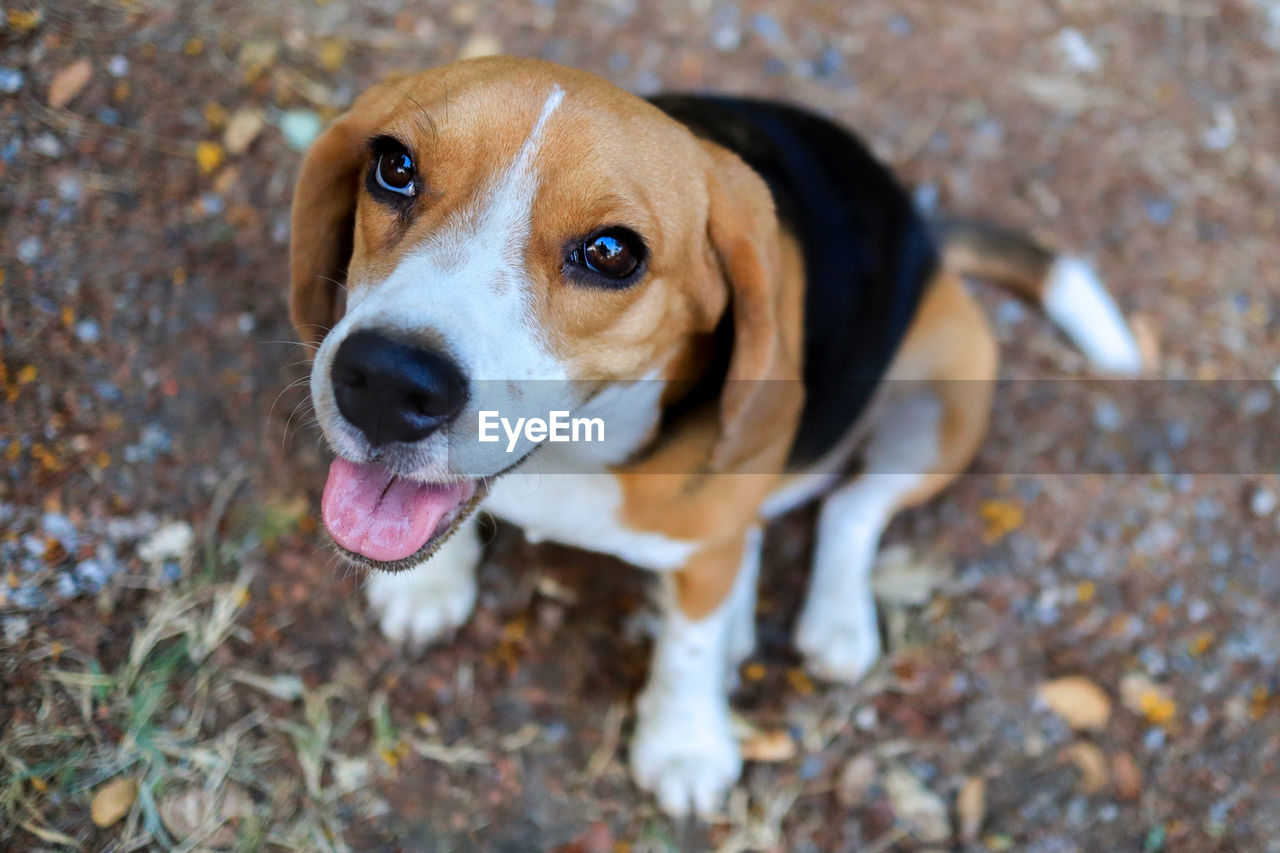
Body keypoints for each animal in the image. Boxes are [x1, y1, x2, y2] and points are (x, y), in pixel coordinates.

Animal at [290, 56, 1141, 814]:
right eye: (395, 167)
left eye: (611, 253)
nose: (387, 382)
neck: (572, 454)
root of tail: (926, 234)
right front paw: (429, 585)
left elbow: (688, 648)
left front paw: (685, 744)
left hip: (943, 402)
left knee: (849, 509)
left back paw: (834, 621)